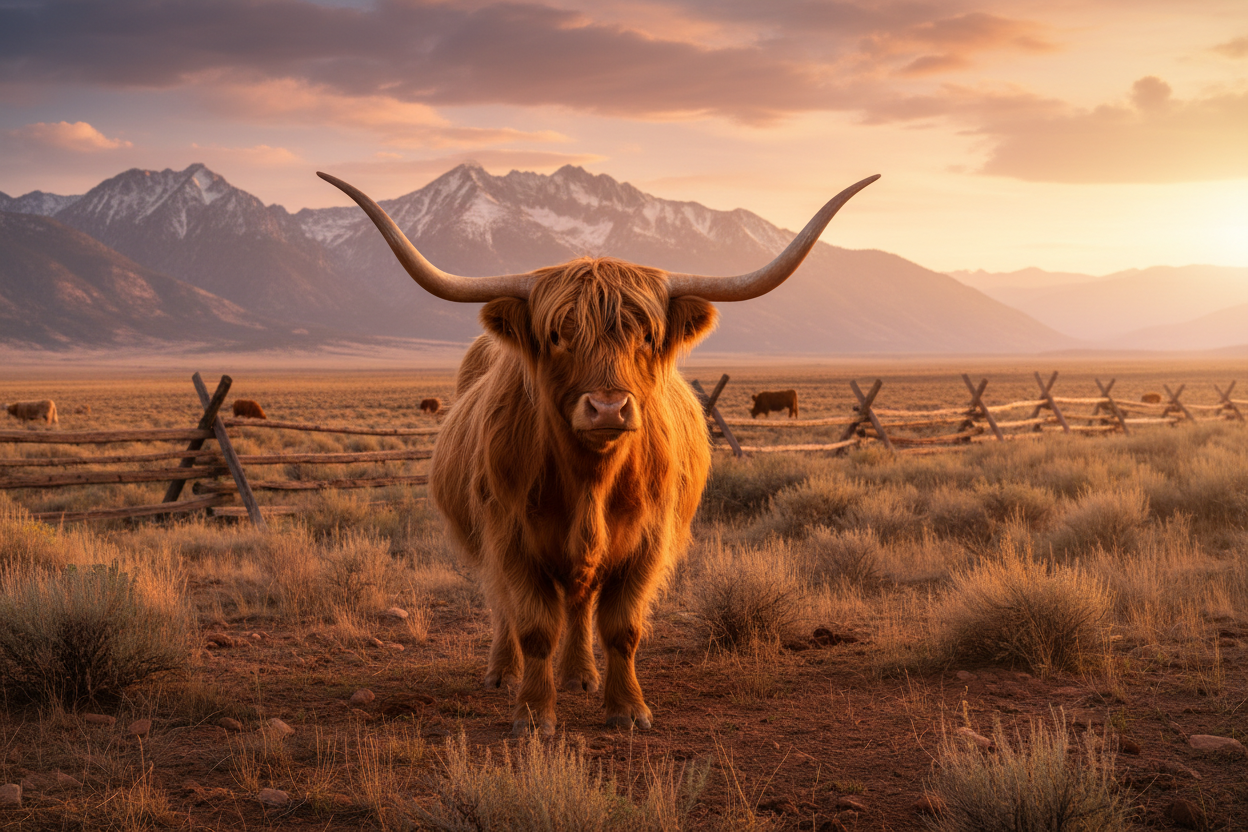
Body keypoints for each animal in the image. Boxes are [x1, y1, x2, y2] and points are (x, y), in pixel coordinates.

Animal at [318, 169, 878, 736]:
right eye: (558, 335)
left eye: (647, 334)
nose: (608, 407)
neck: (590, 479)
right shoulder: (510, 536)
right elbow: (534, 626)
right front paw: (533, 713)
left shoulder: (648, 539)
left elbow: (621, 626)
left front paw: (627, 707)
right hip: (483, 540)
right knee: (503, 606)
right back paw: (503, 673)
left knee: (581, 603)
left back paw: (580, 675)